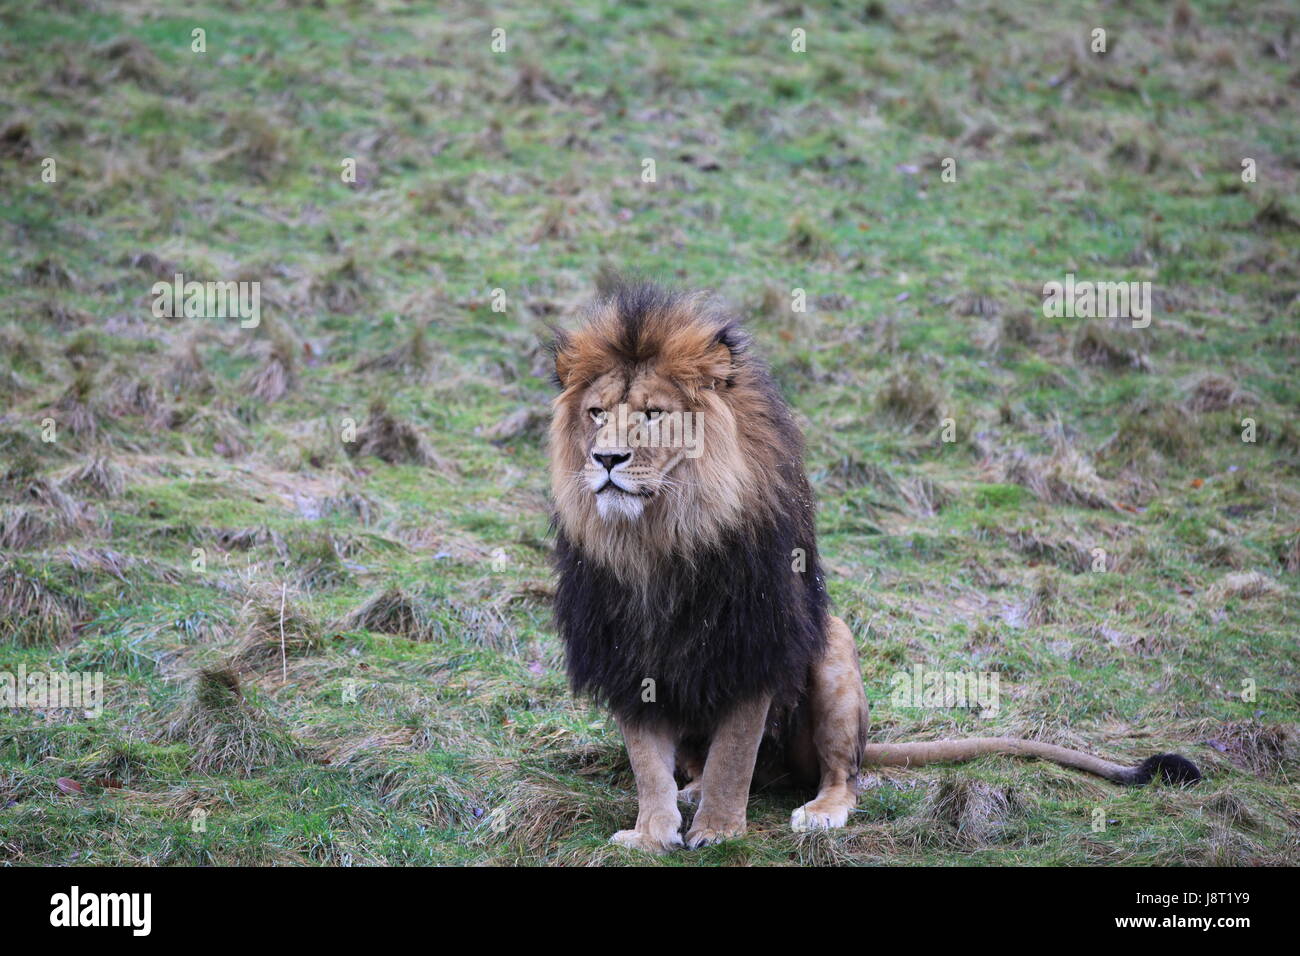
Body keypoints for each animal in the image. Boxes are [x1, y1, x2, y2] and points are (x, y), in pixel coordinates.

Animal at [543, 280, 1190, 858]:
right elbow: (649, 765)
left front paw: (720, 831)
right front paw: (653, 833)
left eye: (654, 414)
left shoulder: (758, 642)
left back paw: (819, 812)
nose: (605, 458)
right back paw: (689, 793)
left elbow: (734, 756)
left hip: (832, 649)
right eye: (596, 413)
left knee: (839, 775)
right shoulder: (624, 655)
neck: (658, 539)